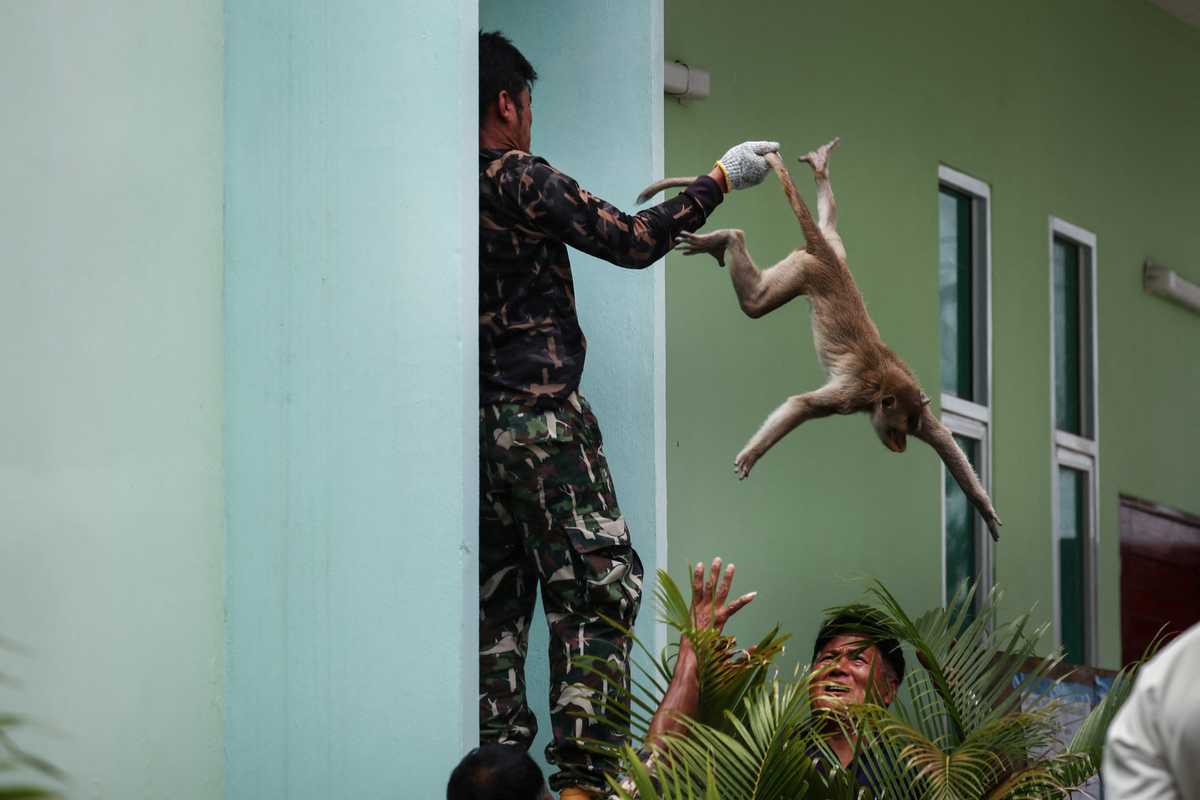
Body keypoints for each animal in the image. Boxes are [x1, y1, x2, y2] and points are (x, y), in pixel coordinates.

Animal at [642, 139, 1001, 540]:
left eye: (910, 429)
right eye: (899, 429)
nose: (903, 443)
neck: (883, 389)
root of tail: (828, 258)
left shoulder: (918, 406)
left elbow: (943, 440)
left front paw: (984, 506)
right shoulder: (854, 394)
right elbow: (803, 405)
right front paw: (753, 454)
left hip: (822, 256)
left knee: (822, 238)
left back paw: (803, 185)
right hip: (806, 270)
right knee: (756, 303)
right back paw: (732, 237)